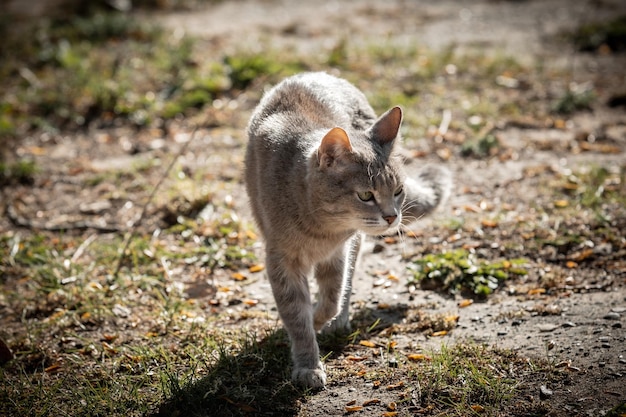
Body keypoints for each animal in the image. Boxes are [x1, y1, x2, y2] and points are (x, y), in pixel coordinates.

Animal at [243, 71, 448, 386]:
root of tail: (319, 73)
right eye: (365, 195)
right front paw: (308, 364)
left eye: (397, 191)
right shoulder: (282, 259)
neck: (320, 230)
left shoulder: (339, 253)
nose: (392, 217)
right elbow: (296, 315)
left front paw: (321, 319)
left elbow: (332, 298)